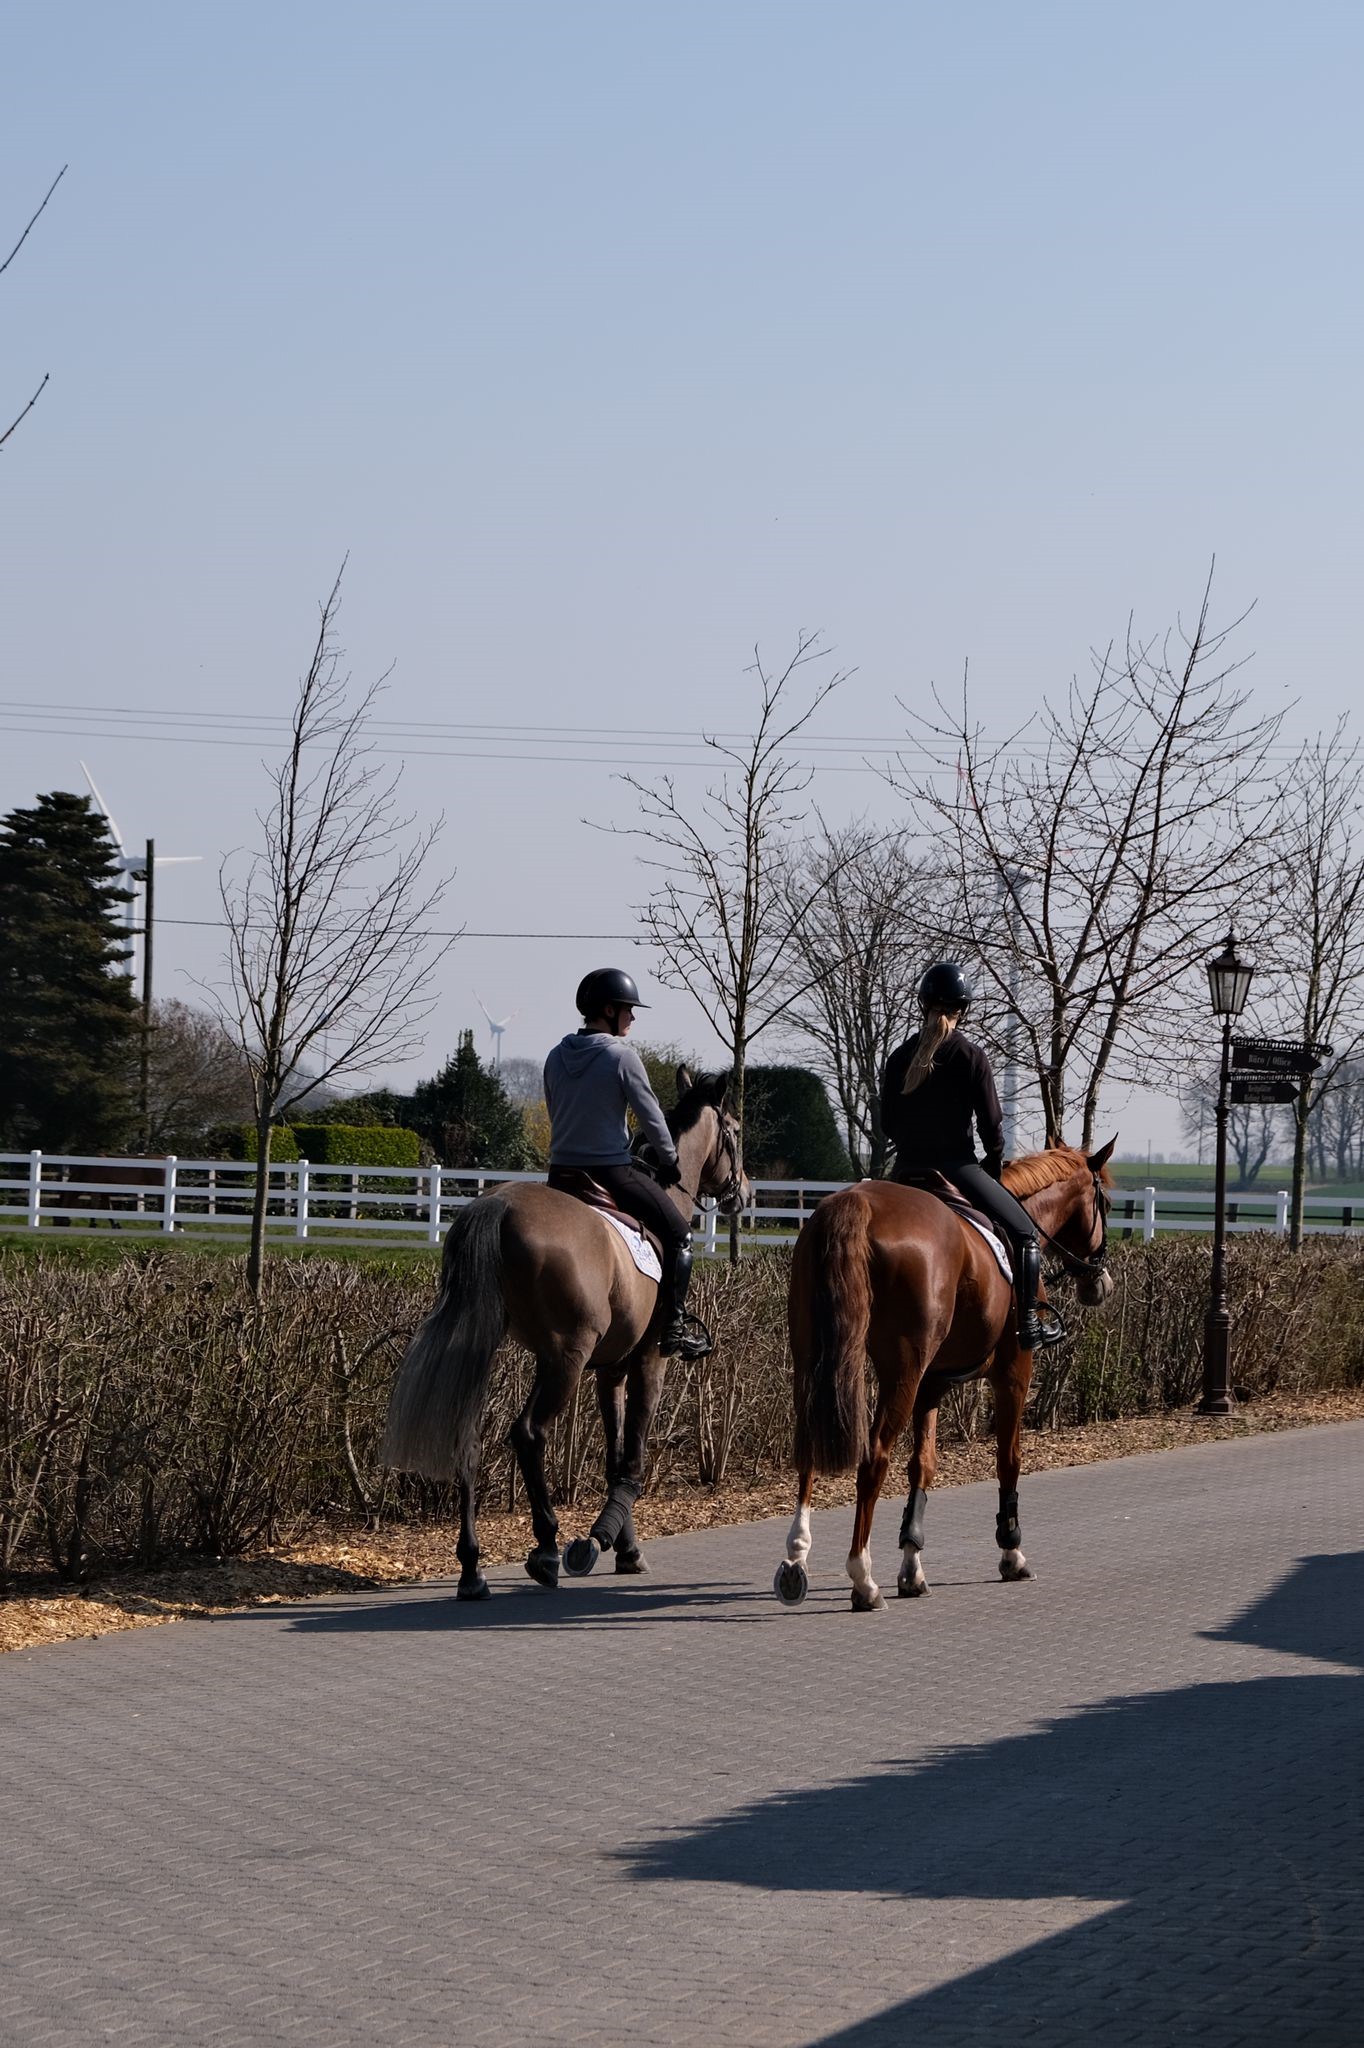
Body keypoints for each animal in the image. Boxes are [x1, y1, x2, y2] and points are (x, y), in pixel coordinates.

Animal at [378, 1073, 745, 1597]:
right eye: (735, 1131)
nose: (744, 1193)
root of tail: (498, 1205)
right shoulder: (648, 1362)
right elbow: (632, 1457)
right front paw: (605, 1541)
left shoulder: (609, 1372)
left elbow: (614, 1456)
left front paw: (625, 1546)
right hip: (566, 1357)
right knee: (529, 1432)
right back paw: (547, 1547)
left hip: (490, 1343)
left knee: (467, 1434)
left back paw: (472, 1568)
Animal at [770, 1146, 1114, 1605]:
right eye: (1104, 1204)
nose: (1100, 1283)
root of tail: (858, 1203)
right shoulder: (1013, 1374)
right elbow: (1008, 1460)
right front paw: (1012, 1552)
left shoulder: (931, 1384)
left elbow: (923, 1465)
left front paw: (912, 1565)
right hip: (902, 1370)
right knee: (874, 1456)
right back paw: (862, 1577)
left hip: (814, 1361)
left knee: (808, 1448)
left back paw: (796, 1560)